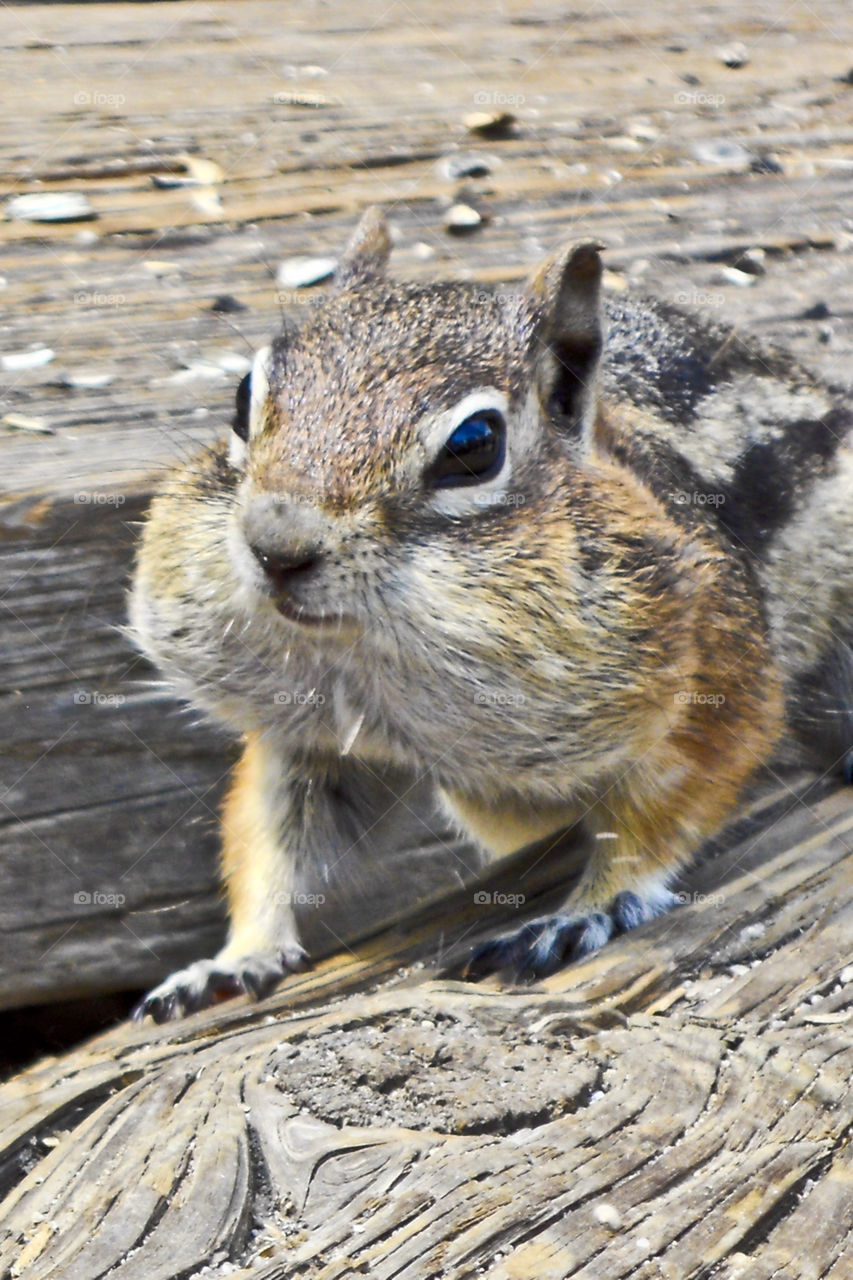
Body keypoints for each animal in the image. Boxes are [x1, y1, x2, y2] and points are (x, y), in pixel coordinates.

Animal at [130, 206, 853, 1022]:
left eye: (473, 446)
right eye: (241, 397)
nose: (276, 547)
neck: (365, 659)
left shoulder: (716, 677)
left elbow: (662, 815)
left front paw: (586, 911)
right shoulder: (304, 738)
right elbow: (273, 840)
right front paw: (235, 957)